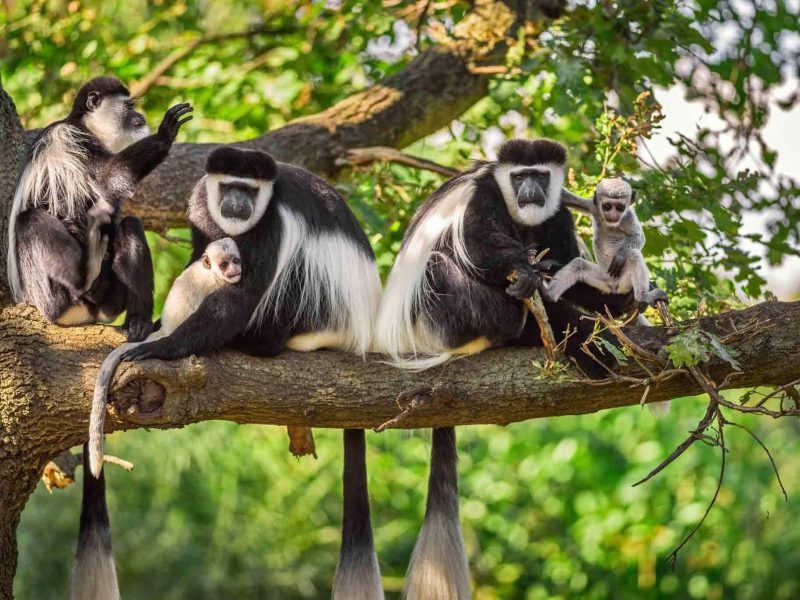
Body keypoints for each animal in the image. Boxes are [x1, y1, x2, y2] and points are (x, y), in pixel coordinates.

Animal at [7, 76, 192, 342]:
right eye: (129, 106)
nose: (140, 116)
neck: (85, 126)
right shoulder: (72, 139)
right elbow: (108, 178)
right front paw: (165, 133)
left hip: (111, 301)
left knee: (130, 225)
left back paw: (137, 322)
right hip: (46, 293)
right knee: (30, 220)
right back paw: (85, 285)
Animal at [85, 146, 384, 599]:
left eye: (250, 190)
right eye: (229, 186)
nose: (237, 204)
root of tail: (359, 332)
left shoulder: (272, 225)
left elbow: (243, 294)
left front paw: (164, 345)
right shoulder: (199, 206)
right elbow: (199, 257)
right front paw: (155, 325)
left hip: (318, 311)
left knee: (292, 275)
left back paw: (256, 342)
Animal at [374, 139, 636, 599]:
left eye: (541, 175)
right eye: (518, 177)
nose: (530, 190)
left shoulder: (556, 213)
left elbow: (567, 262)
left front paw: (612, 298)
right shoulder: (482, 199)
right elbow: (482, 249)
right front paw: (529, 275)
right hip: (438, 315)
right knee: (444, 266)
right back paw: (529, 320)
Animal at [545, 177, 668, 315]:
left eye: (620, 207)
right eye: (607, 206)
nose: (613, 215)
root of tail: (614, 287)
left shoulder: (628, 217)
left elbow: (638, 237)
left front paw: (620, 256)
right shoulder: (593, 206)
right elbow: (567, 198)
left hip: (624, 281)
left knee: (634, 255)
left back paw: (643, 297)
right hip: (603, 279)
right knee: (578, 265)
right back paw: (548, 294)